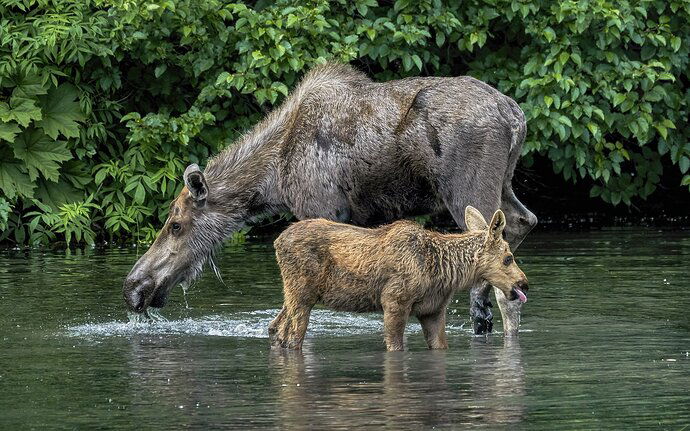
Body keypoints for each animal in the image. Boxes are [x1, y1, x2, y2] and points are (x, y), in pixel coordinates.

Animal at [121, 62, 536, 336]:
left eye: (176, 225)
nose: (133, 288)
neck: (272, 180)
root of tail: (516, 116)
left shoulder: (321, 209)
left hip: (467, 186)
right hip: (505, 183)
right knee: (523, 221)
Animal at [268, 206, 528, 352]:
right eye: (508, 258)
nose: (523, 283)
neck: (444, 272)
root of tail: (277, 241)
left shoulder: (433, 310)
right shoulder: (394, 301)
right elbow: (395, 347)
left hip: (294, 295)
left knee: (276, 328)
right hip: (301, 293)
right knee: (292, 337)